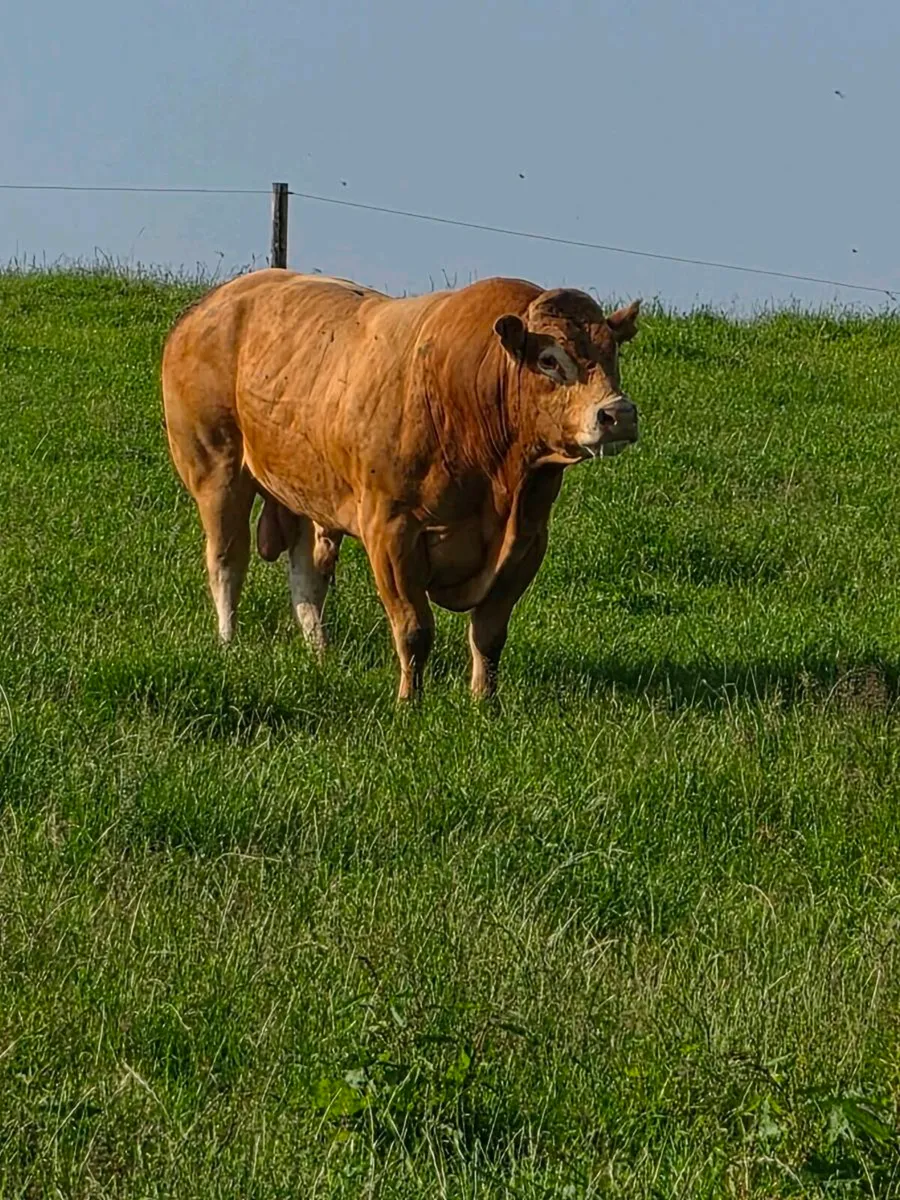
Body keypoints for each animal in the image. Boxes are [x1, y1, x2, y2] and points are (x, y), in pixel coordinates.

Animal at [161, 271, 640, 700]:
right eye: (549, 360)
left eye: (612, 351)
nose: (618, 414)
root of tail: (214, 302)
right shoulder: (392, 532)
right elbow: (414, 630)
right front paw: (410, 703)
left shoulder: (527, 543)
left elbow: (488, 635)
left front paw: (486, 704)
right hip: (217, 470)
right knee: (227, 560)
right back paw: (228, 642)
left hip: (304, 488)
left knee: (306, 577)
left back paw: (321, 655)